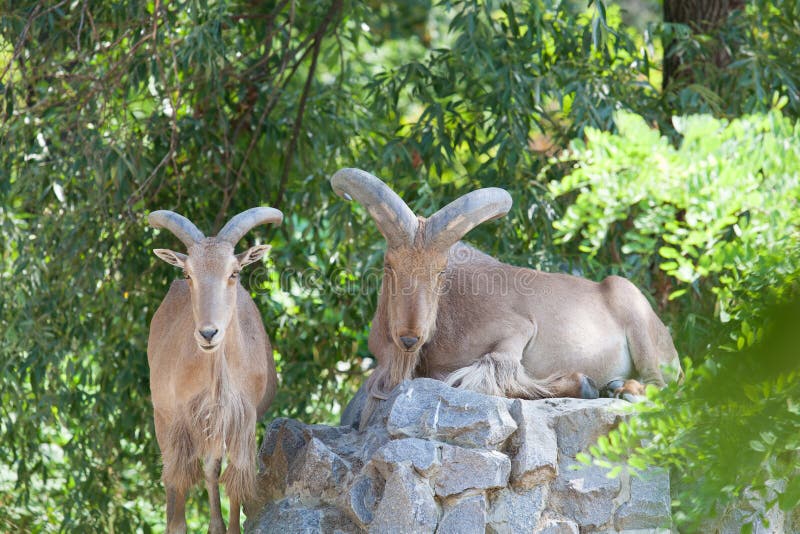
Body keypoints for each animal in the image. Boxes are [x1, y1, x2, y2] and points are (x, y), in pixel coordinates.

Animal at [147, 208, 282, 534]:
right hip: (164, 419)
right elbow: (179, 484)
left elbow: (233, 477)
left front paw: (229, 527)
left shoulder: (242, 420)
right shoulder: (179, 419)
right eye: (188, 274)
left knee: (211, 467)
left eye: (233, 273)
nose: (208, 333)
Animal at [332, 170, 680, 430]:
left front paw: (586, 384)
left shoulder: (517, 331)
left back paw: (625, 389)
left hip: (636, 315)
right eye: (389, 265)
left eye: (441, 271)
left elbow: (491, 376)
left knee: (664, 386)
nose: (409, 337)